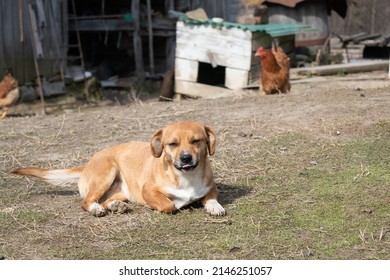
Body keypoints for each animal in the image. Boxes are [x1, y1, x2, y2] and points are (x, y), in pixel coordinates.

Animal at [12, 121, 225, 217]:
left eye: (196, 141)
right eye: (172, 144)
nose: (186, 158)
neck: (187, 176)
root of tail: (87, 164)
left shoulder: (211, 187)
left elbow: (210, 197)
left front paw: (215, 206)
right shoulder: (148, 190)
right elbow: (169, 205)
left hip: (120, 190)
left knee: (107, 200)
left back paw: (116, 206)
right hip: (107, 173)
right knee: (87, 201)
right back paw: (97, 209)